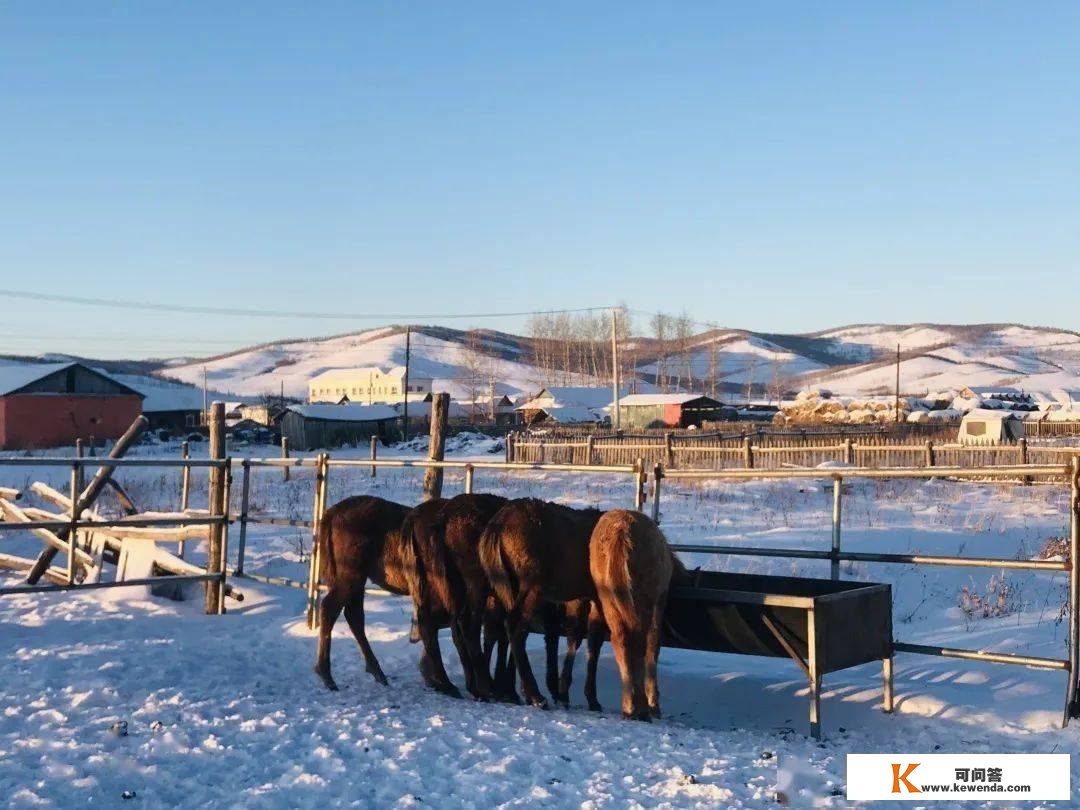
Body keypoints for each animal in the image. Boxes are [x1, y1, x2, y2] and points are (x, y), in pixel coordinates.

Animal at [315, 494, 414, 691]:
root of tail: (332, 513)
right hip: (351, 578)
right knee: (331, 609)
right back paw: (327, 676)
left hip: (356, 581)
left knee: (354, 616)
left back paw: (377, 672)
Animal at [591, 509, 682, 721]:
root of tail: (620, 533)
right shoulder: (659, 602)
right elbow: (653, 646)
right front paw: (654, 703)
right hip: (642, 602)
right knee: (639, 644)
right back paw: (641, 708)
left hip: (609, 599)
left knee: (620, 642)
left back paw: (629, 705)